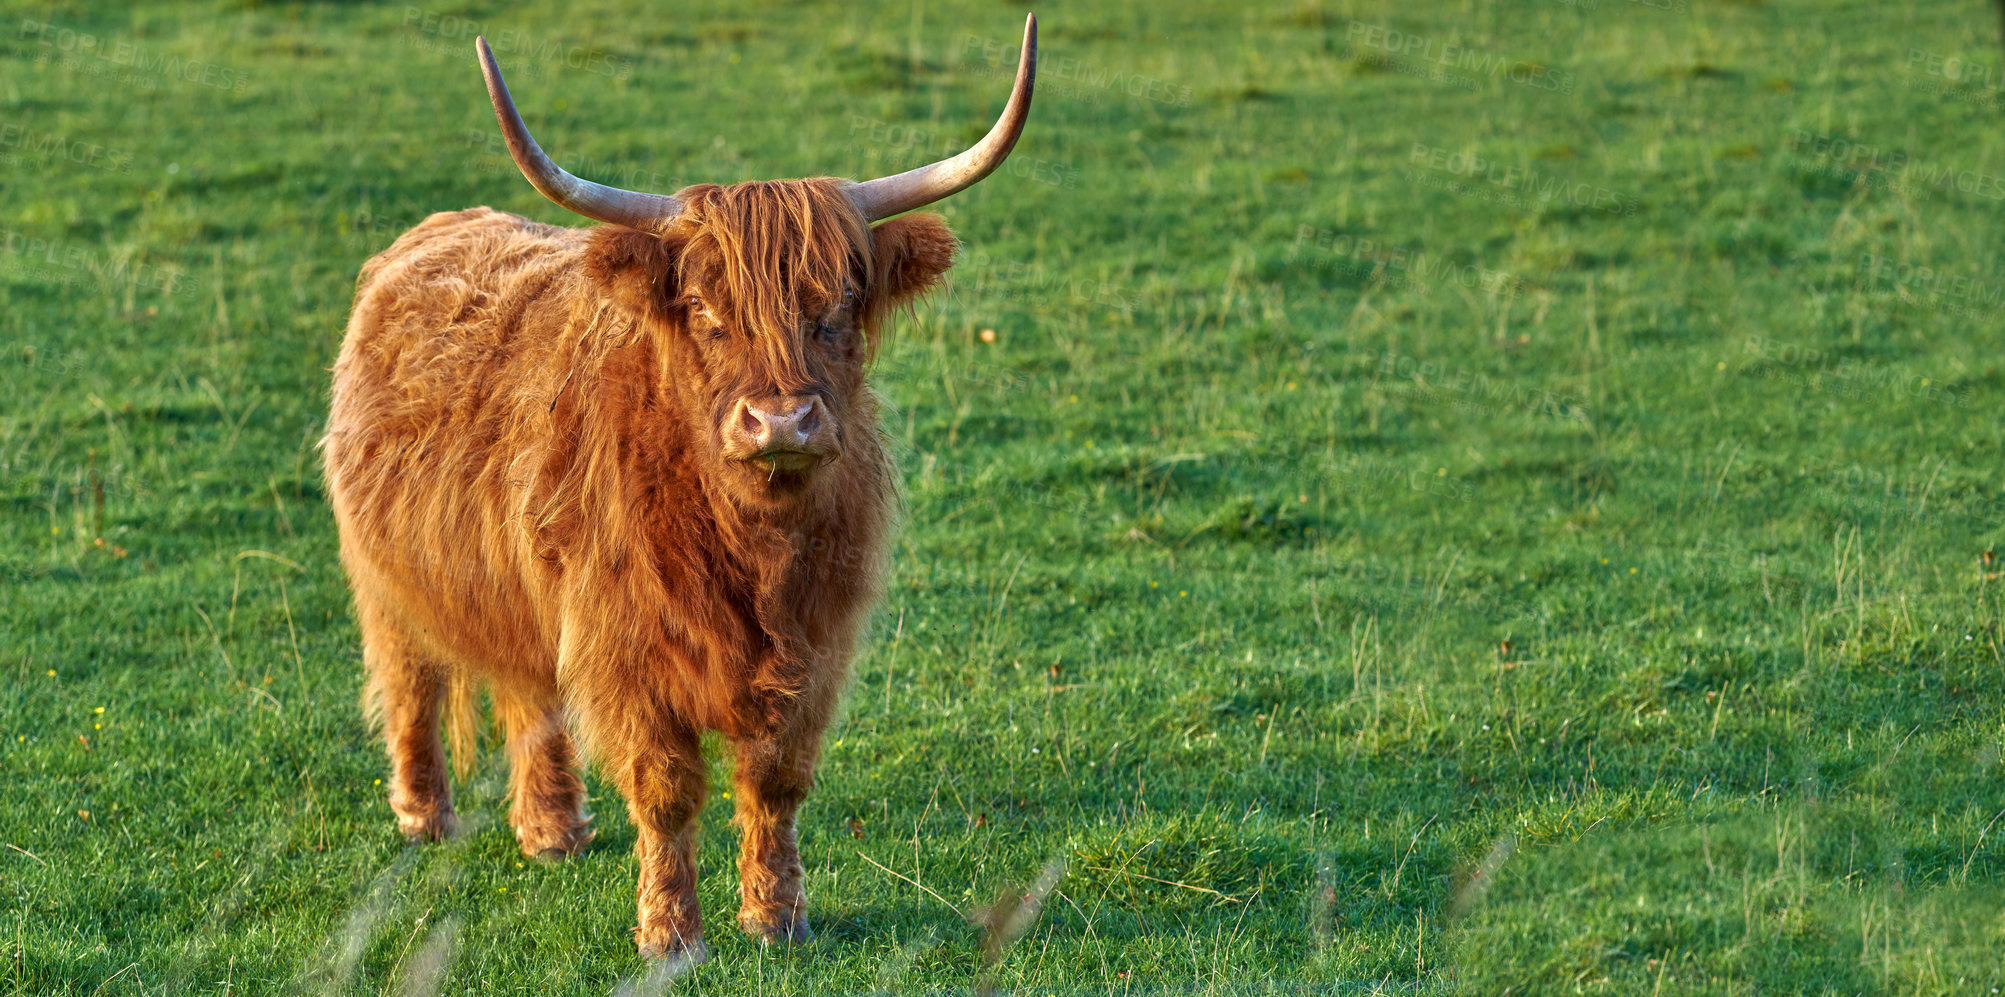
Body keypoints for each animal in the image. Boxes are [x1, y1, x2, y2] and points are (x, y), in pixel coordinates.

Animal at [320, 15, 1042, 958]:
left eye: (841, 305)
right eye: (704, 309)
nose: (780, 422)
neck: (752, 549)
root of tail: (440, 227)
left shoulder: (815, 648)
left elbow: (774, 780)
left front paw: (777, 918)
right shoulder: (627, 648)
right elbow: (665, 789)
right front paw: (670, 934)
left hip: (517, 578)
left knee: (528, 690)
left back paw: (552, 830)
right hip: (386, 578)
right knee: (410, 680)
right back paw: (423, 815)